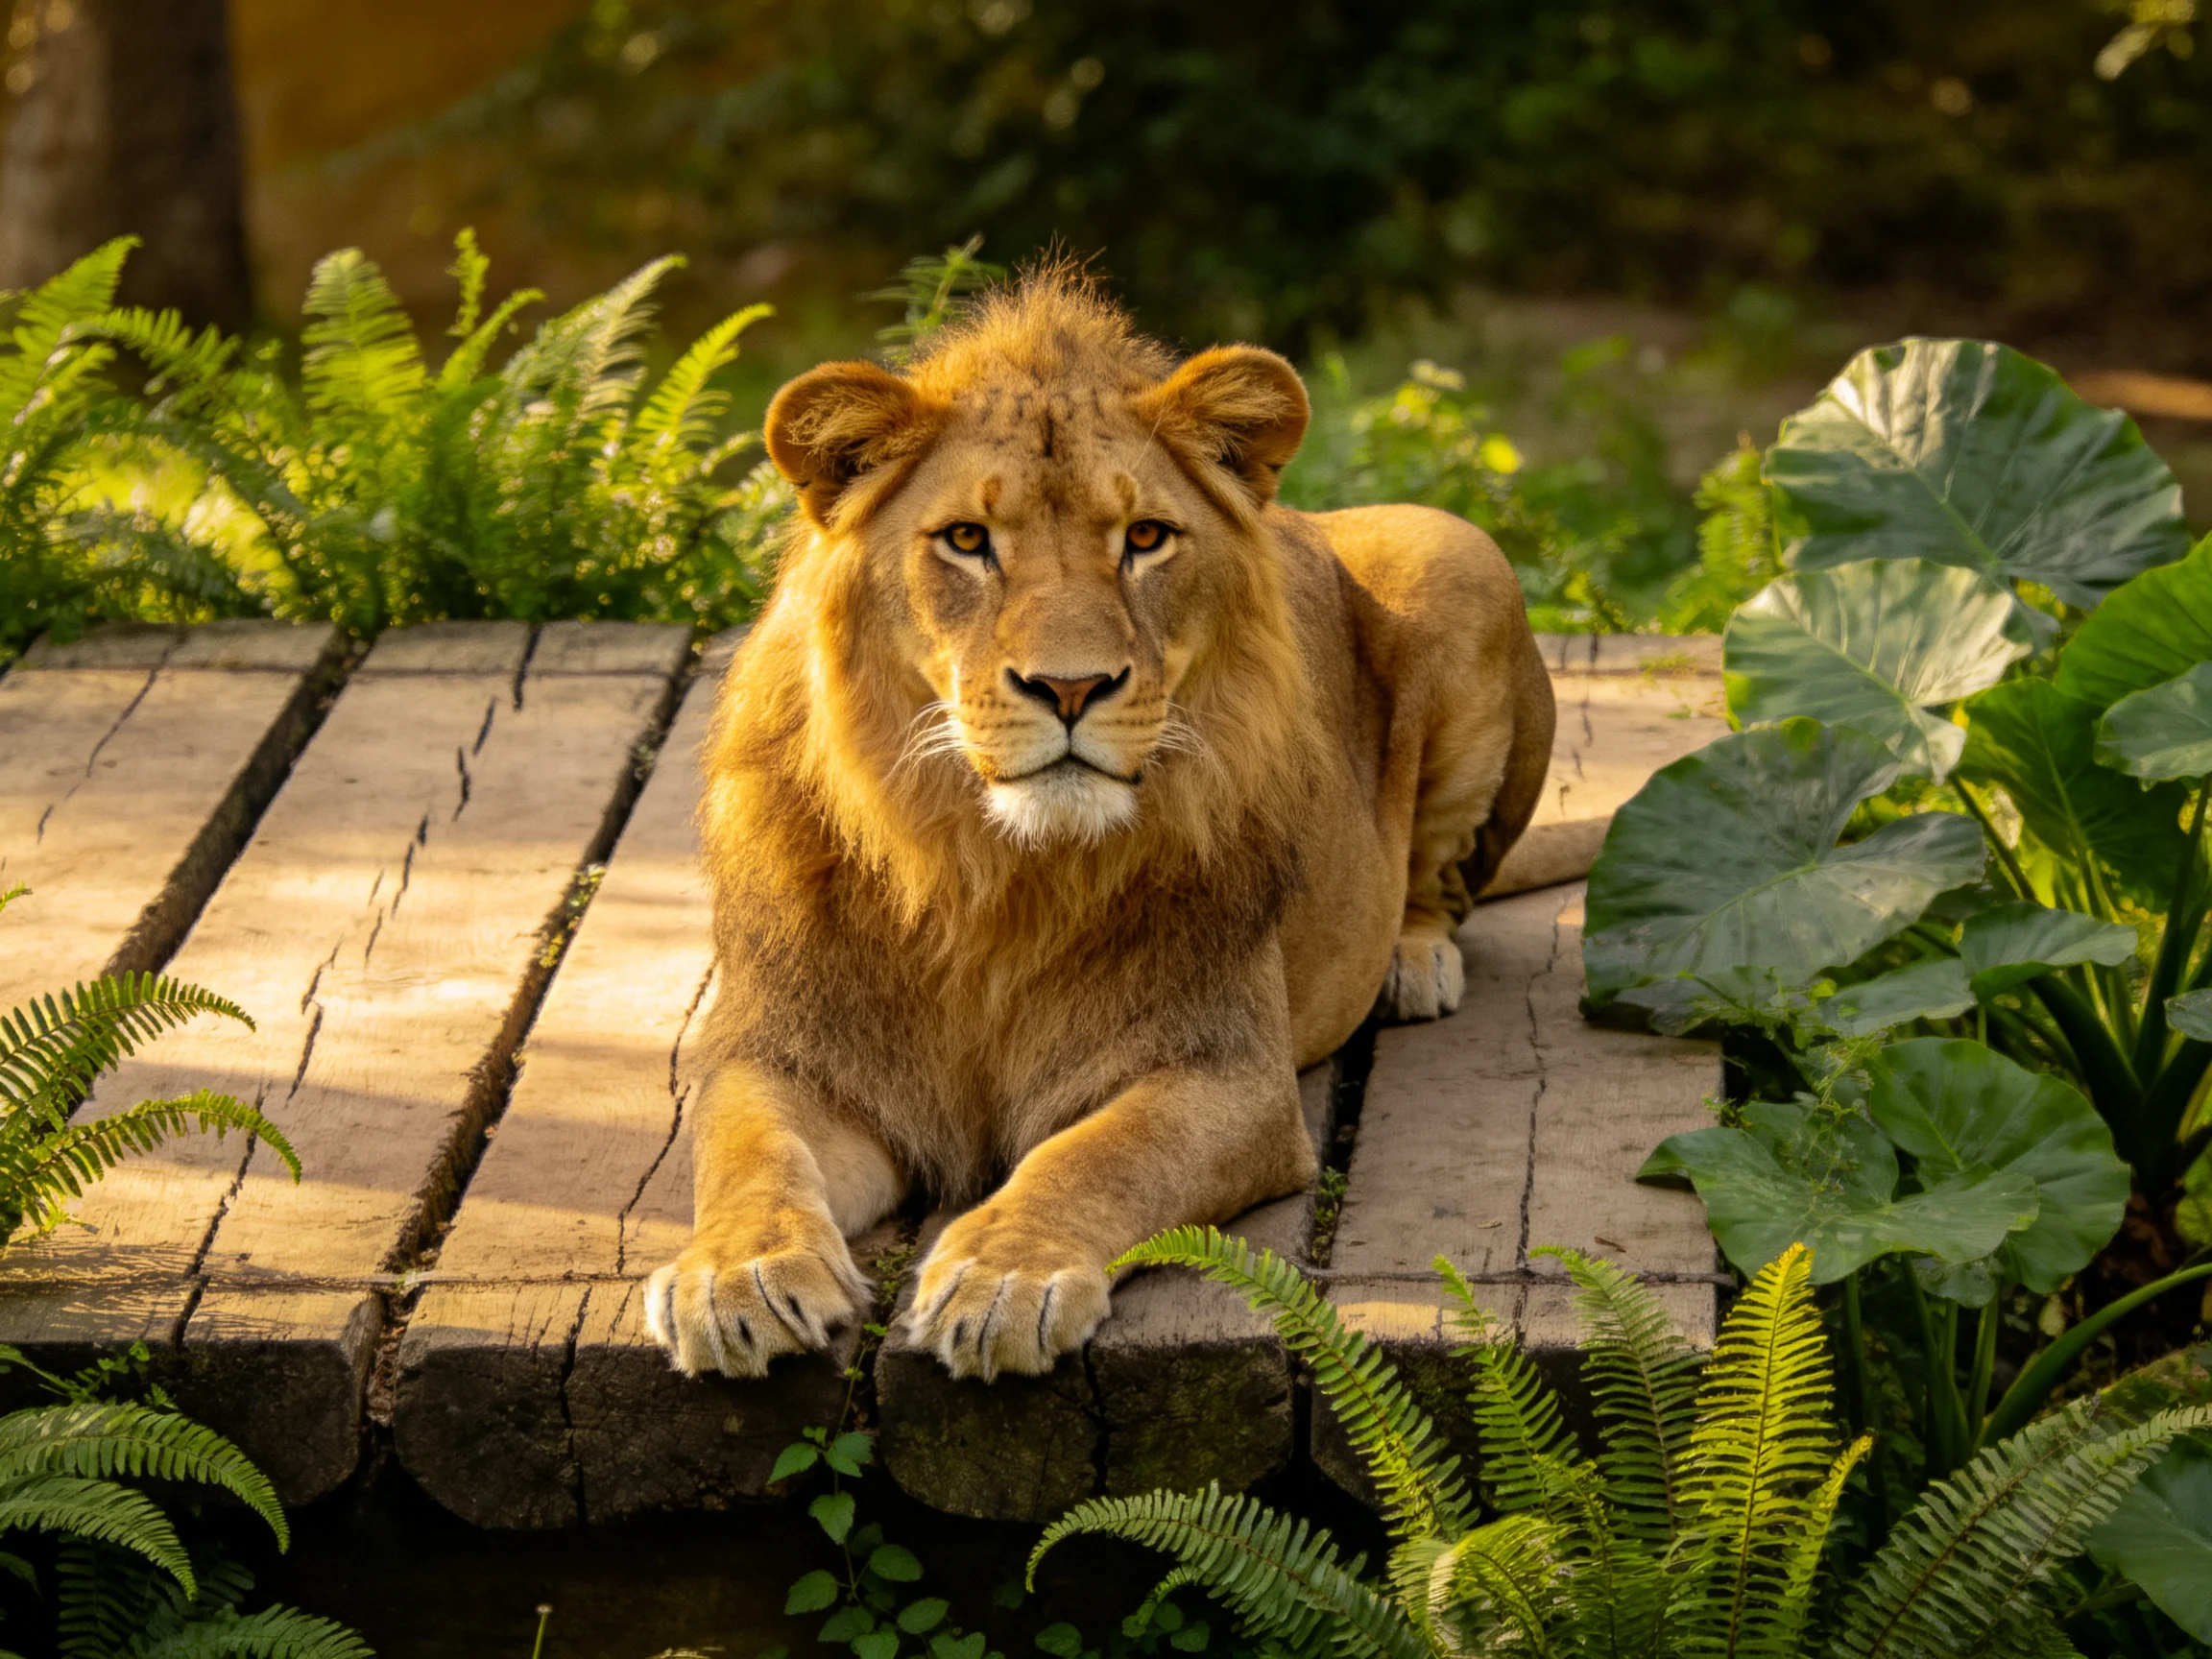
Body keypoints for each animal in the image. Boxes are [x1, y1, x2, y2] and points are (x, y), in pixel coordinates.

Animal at [643, 270, 1554, 1383]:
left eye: (1145, 538)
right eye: (968, 540)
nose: (1070, 687)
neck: (985, 870)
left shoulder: (1226, 1071)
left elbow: (1096, 1157)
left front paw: (1004, 1276)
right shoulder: (782, 1050)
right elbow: (748, 1152)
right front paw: (737, 1275)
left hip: (1459, 551)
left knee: (1446, 882)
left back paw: (1412, 959)